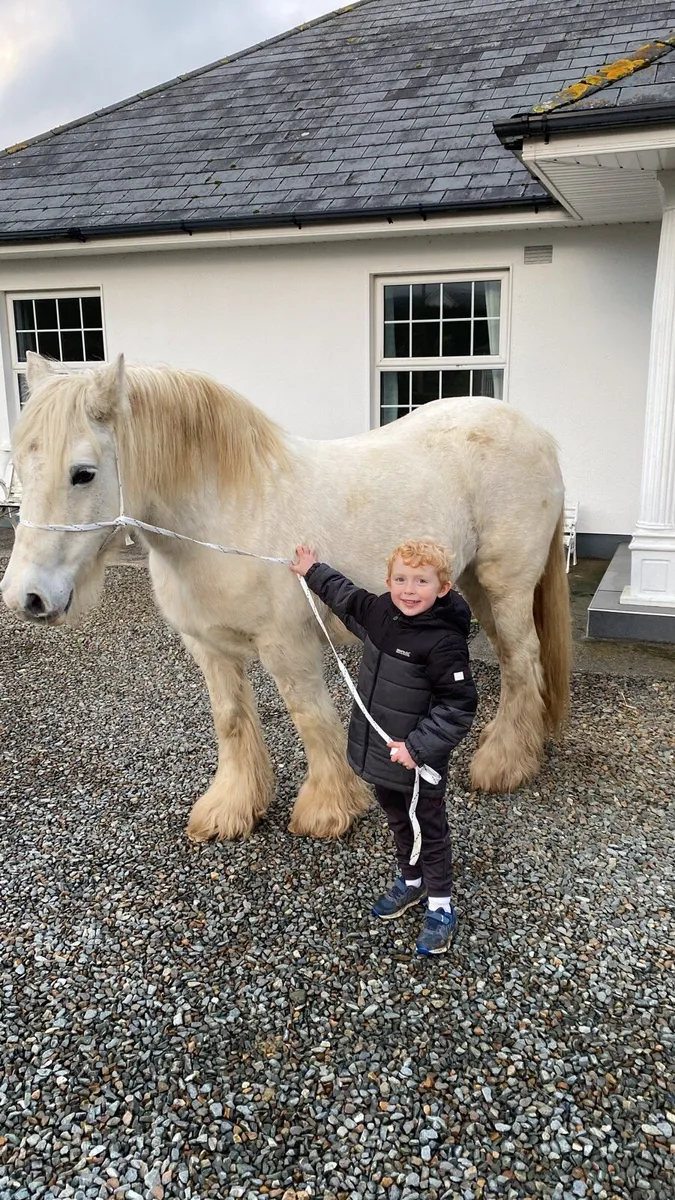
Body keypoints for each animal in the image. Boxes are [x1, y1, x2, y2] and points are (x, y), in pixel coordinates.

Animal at [1, 353, 571, 841]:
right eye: (22, 471)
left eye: (83, 473)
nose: (26, 596)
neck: (226, 513)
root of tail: (539, 434)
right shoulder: (210, 648)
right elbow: (231, 720)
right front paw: (231, 809)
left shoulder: (287, 645)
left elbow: (310, 716)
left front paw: (329, 809)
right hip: (474, 585)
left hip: (506, 586)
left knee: (522, 658)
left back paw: (503, 764)